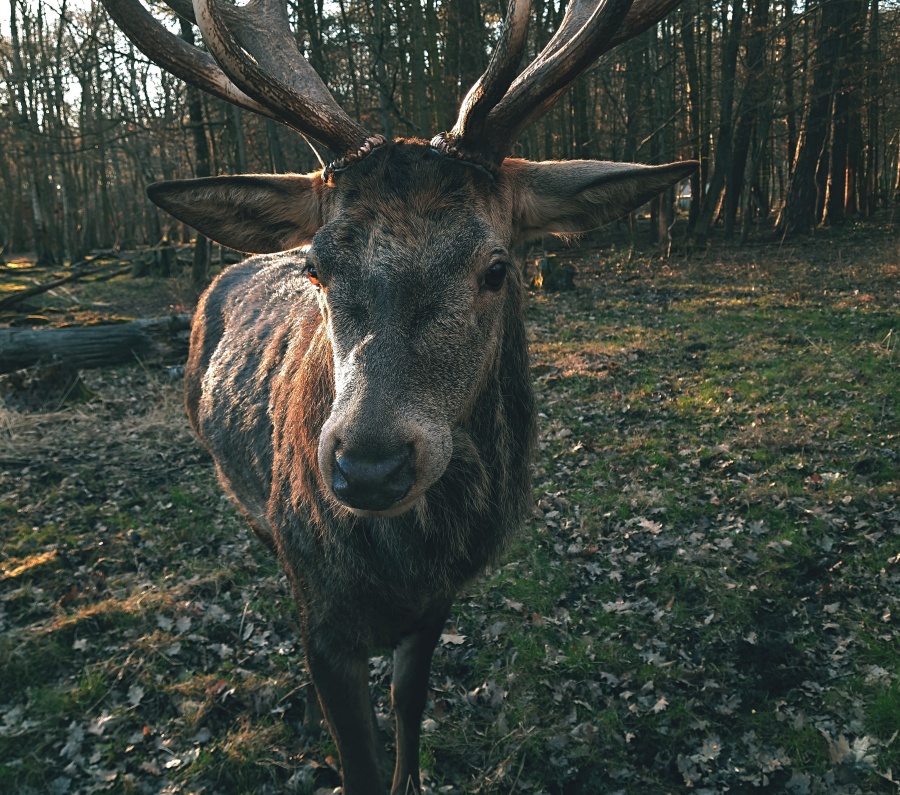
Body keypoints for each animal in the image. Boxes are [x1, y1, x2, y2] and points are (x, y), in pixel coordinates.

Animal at [103, 0, 696, 792]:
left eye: (497, 267)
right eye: (316, 268)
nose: (370, 466)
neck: (401, 565)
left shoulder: (437, 603)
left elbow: (408, 706)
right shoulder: (321, 613)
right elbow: (355, 757)